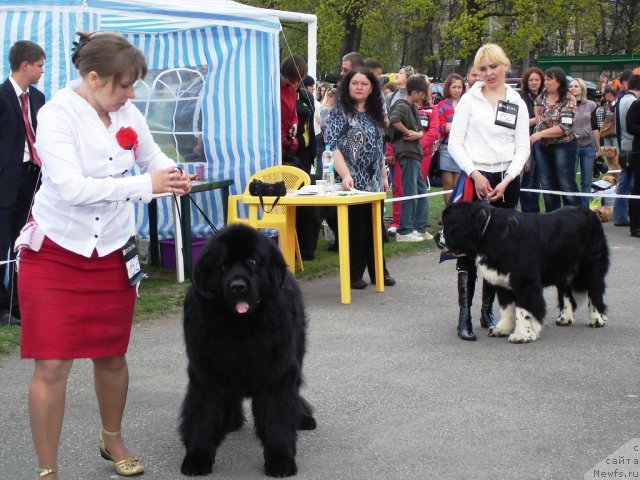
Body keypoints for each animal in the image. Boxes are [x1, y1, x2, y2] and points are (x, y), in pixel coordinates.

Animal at [180, 224, 316, 476]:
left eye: (252, 261)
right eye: (223, 265)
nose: (237, 286)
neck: (241, 329)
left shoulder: (278, 373)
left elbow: (277, 417)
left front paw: (281, 460)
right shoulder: (206, 372)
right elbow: (203, 417)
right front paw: (197, 457)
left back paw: (302, 418)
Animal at [436, 201, 608, 344]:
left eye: (447, 223)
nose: (437, 236)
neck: (488, 233)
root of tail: (590, 213)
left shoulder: (525, 283)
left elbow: (523, 310)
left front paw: (522, 335)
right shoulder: (502, 280)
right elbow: (506, 308)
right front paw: (502, 329)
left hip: (591, 267)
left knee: (594, 292)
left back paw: (596, 319)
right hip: (564, 268)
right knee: (567, 294)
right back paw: (565, 318)